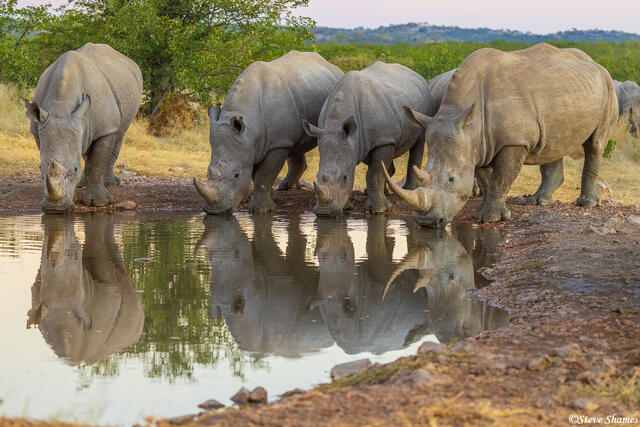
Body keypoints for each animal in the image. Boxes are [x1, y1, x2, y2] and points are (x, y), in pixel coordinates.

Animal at [25, 43, 143, 213]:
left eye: (75, 169)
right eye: (39, 168)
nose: (55, 210)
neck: (61, 107)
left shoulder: (105, 129)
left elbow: (96, 163)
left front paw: (98, 202)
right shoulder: (39, 128)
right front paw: (73, 197)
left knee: (119, 135)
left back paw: (111, 183)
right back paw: (82, 184)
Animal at [194, 51, 343, 214]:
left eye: (236, 175)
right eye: (208, 171)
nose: (214, 211)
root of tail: (330, 65)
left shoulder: (278, 143)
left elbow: (264, 175)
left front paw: (263, 209)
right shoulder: (250, 144)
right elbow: (255, 174)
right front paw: (271, 197)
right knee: (295, 144)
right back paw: (285, 187)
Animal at [301, 61, 431, 216]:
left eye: (344, 177)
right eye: (316, 176)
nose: (324, 212)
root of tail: (416, 74)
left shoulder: (383, 141)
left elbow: (374, 173)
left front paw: (378, 210)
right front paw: (347, 207)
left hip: (418, 113)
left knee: (418, 142)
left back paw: (409, 189)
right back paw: (381, 192)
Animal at [385, 43, 618, 227]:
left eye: (451, 179)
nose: (426, 222)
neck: (470, 122)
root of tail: (596, 63)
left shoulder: (514, 142)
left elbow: (501, 177)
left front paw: (491, 218)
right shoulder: (478, 144)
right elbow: (487, 179)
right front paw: (484, 213)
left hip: (608, 88)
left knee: (595, 144)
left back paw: (587, 203)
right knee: (553, 143)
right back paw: (539, 202)